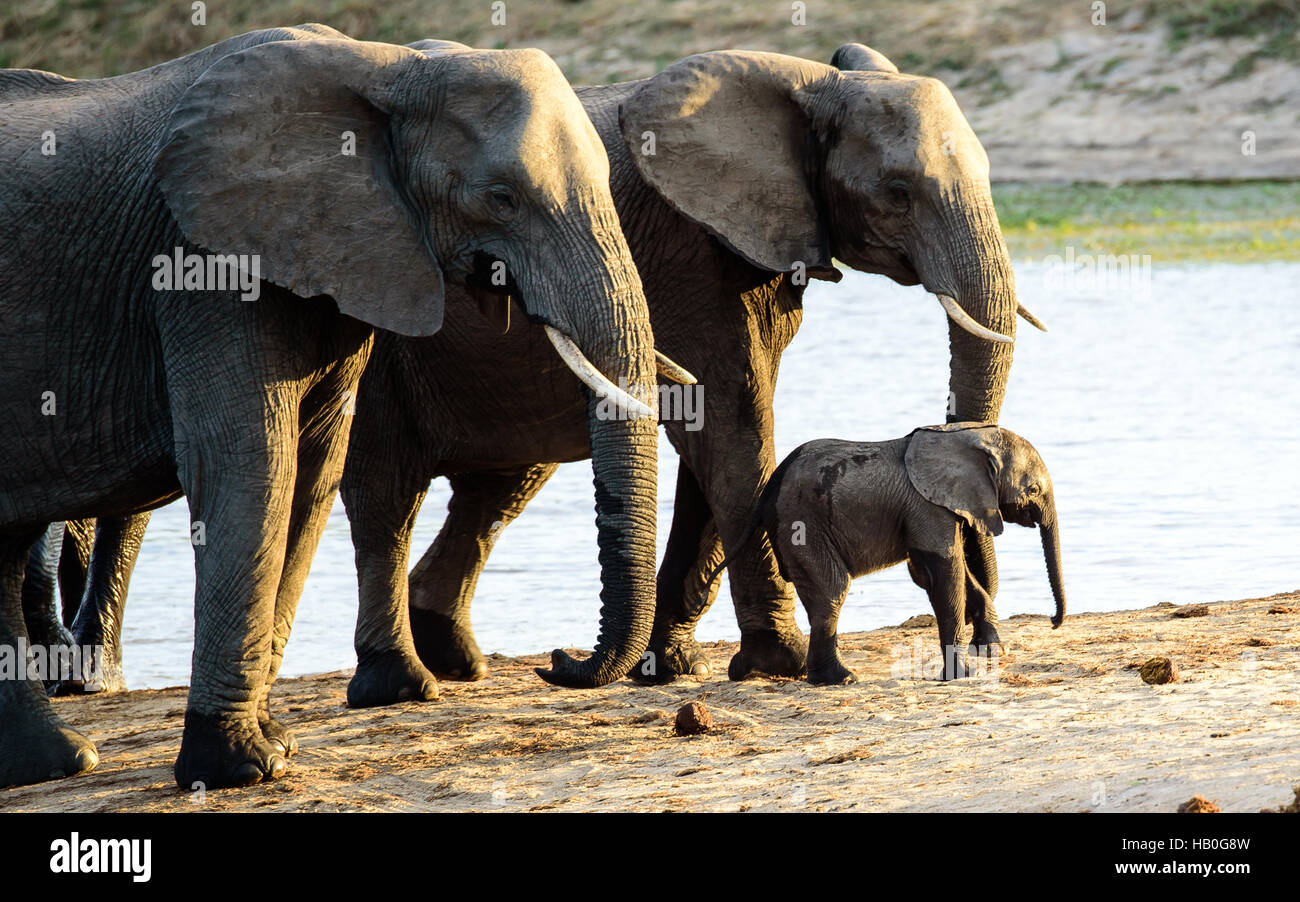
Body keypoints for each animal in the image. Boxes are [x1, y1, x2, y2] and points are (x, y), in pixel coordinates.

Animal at [0, 24, 665, 790]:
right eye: (501, 198)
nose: (557, 660)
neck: (388, 66)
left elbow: (313, 468)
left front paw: (274, 750)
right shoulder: (200, 261)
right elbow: (254, 464)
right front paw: (241, 767)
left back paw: (54, 762)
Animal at [712, 423, 1066, 686]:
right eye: (1033, 490)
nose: (1052, 622)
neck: (963, 438)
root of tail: (770, 486)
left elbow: (941, 570)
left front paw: (992, 650)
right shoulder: (925, 506)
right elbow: (945, 571)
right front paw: (961, 676)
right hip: (802, 525)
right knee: (831, 592)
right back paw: (842, 679)